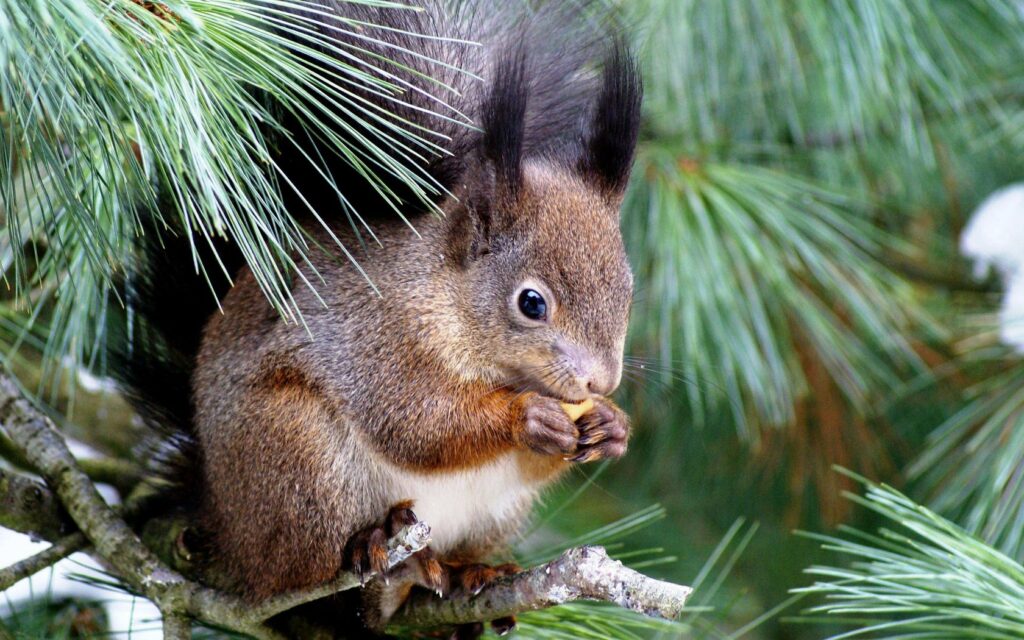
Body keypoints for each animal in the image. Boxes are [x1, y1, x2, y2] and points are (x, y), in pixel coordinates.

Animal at [113, 0, 642, 637]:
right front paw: (527, 416)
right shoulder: (379, 338)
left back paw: (469, 572)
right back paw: (378, 561)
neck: (446, 298)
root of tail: (219, 515)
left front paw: (612, 426)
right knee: (302, 573)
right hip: (296, 456)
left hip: (494, 511)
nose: (601, 381)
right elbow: (416, 423)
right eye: (531, 302)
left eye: (629, 291)